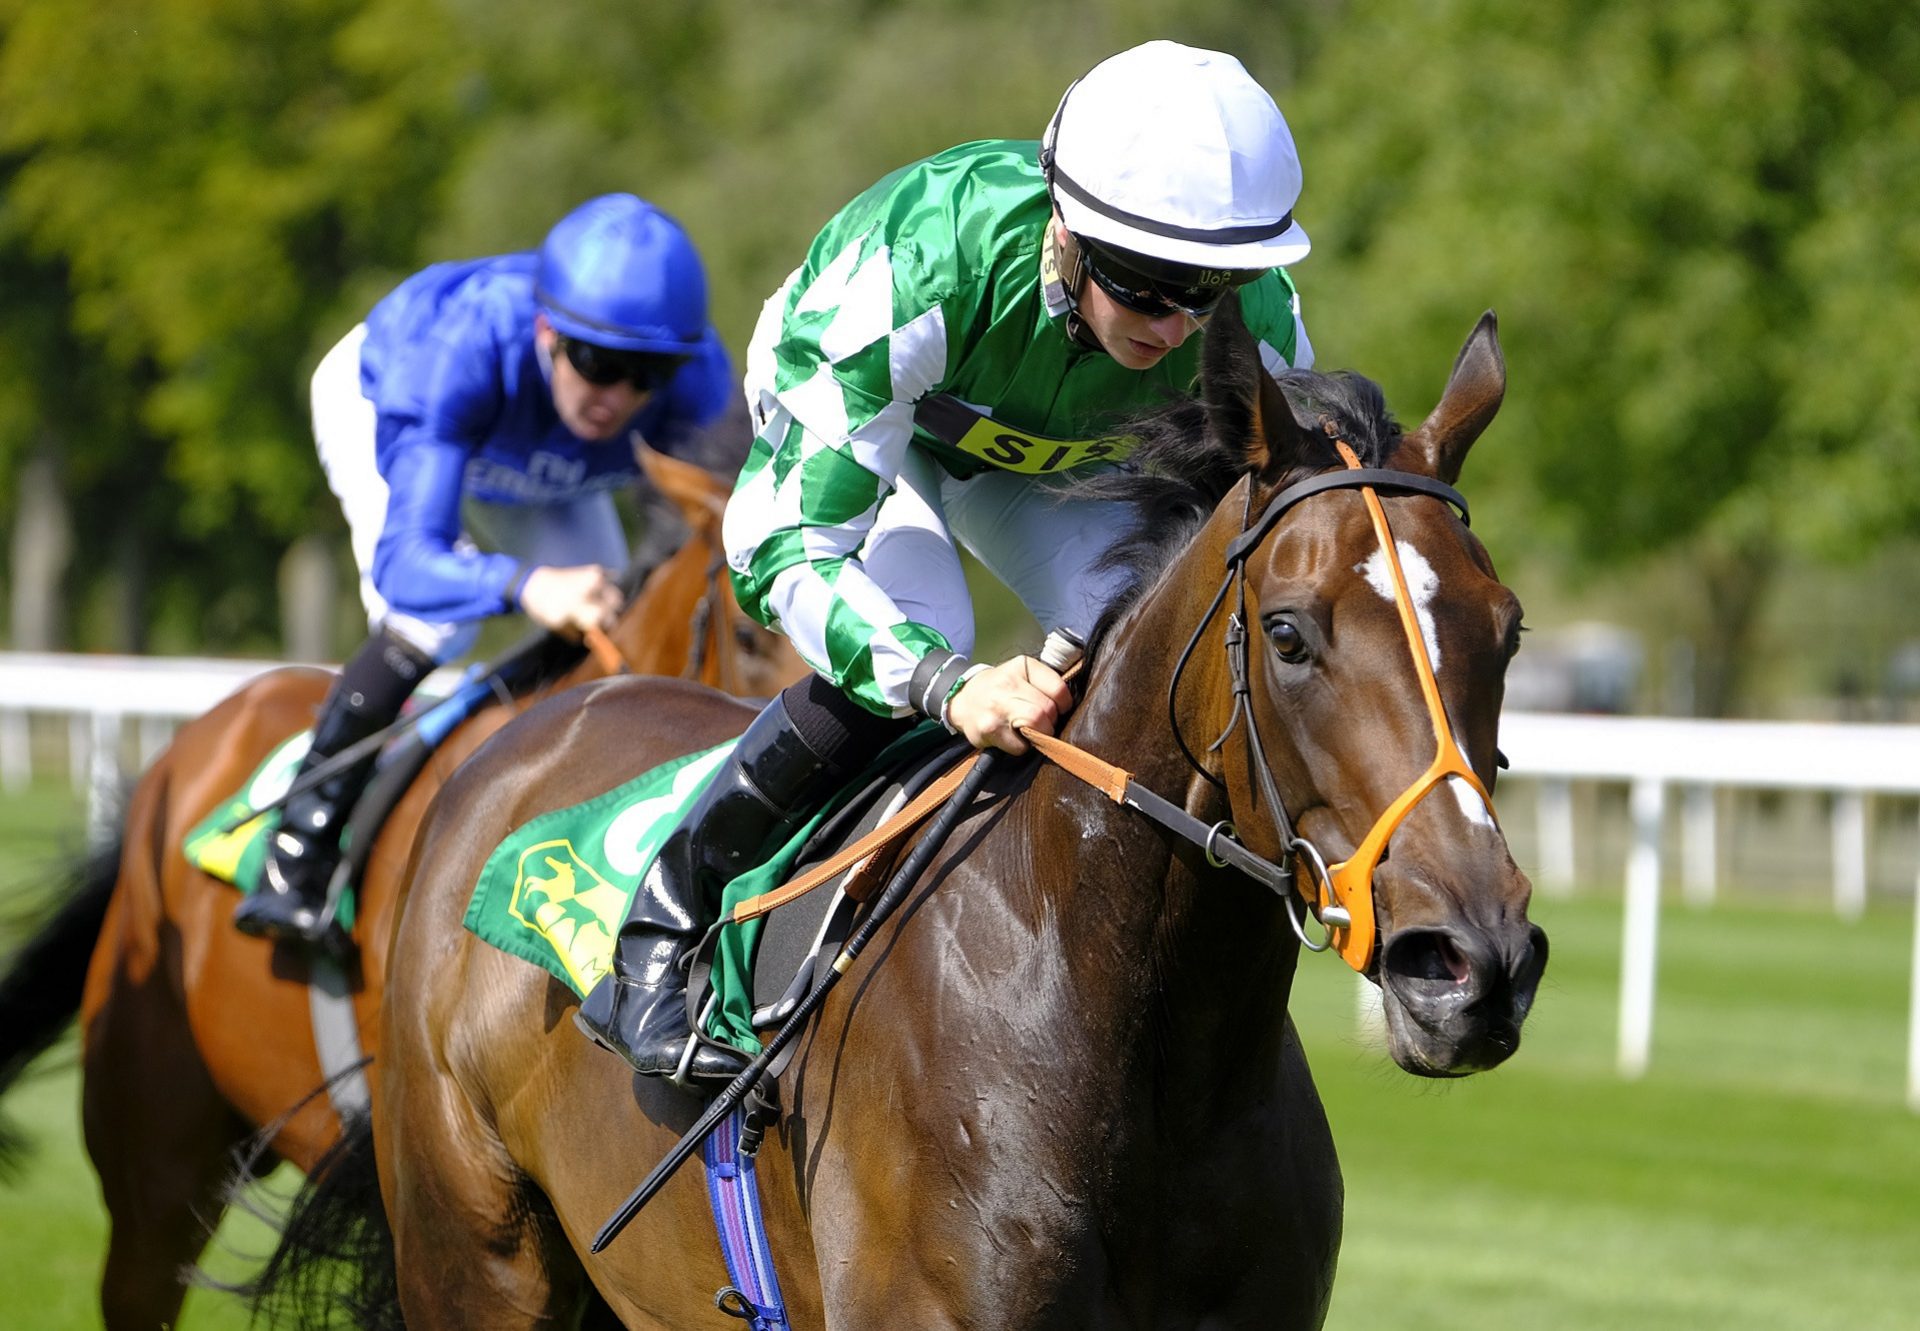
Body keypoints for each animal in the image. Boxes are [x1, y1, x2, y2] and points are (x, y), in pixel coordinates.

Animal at [266, 303, 1543, 1329]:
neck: (1145, 1049)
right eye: (1287, 631)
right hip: (477, 1259)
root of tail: (530, 732)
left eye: (1510, 624)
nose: (1471, 962)